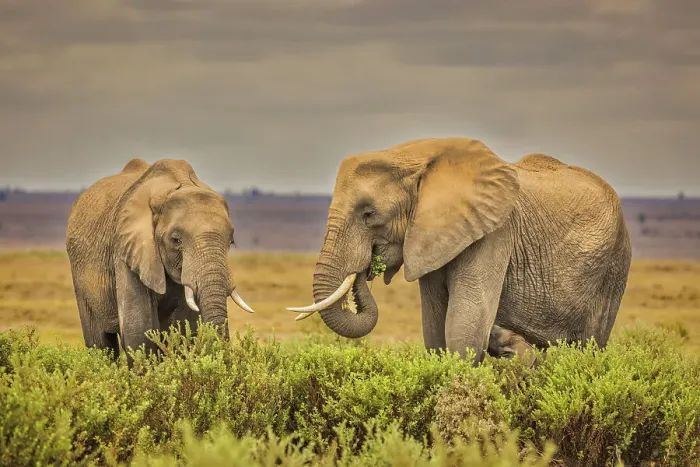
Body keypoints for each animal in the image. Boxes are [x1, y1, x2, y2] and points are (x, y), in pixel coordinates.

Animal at [66, 158, 255, 362]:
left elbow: (184, 329)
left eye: (231, 241)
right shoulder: (125, 249)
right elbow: (138, 332)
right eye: (175, 240)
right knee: (100, 344)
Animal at [287, 137, 632, 364]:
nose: (368, 267)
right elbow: (436, 332)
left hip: (613, 269)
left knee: (589, 347)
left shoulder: (495, 232)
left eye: (368, 214)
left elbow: (463, 331)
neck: (414, 157)